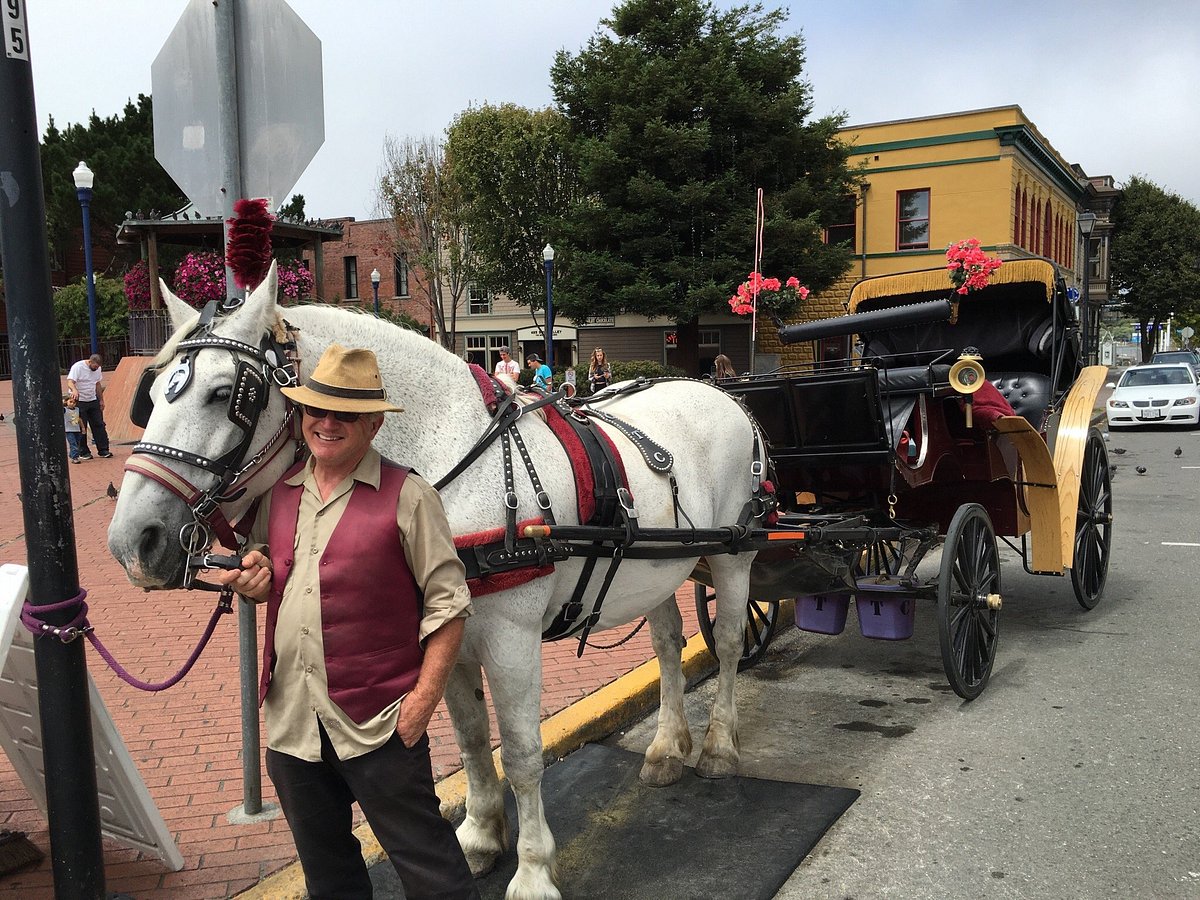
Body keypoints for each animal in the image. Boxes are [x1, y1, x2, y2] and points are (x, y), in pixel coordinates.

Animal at [105, 264, 758, 897]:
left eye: (226, 395)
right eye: (152, 394)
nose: (131, 542)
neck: (450, 462)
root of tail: (713, 390)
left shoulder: (512, 638)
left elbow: (521, 752)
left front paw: (533, 872)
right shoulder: (448, 633)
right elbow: (471, 738)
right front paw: (479, 836)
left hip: (734, 557)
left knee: (727, 643)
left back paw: (719, 746)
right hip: (658, 567)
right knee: (668, 643)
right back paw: (667, 748)